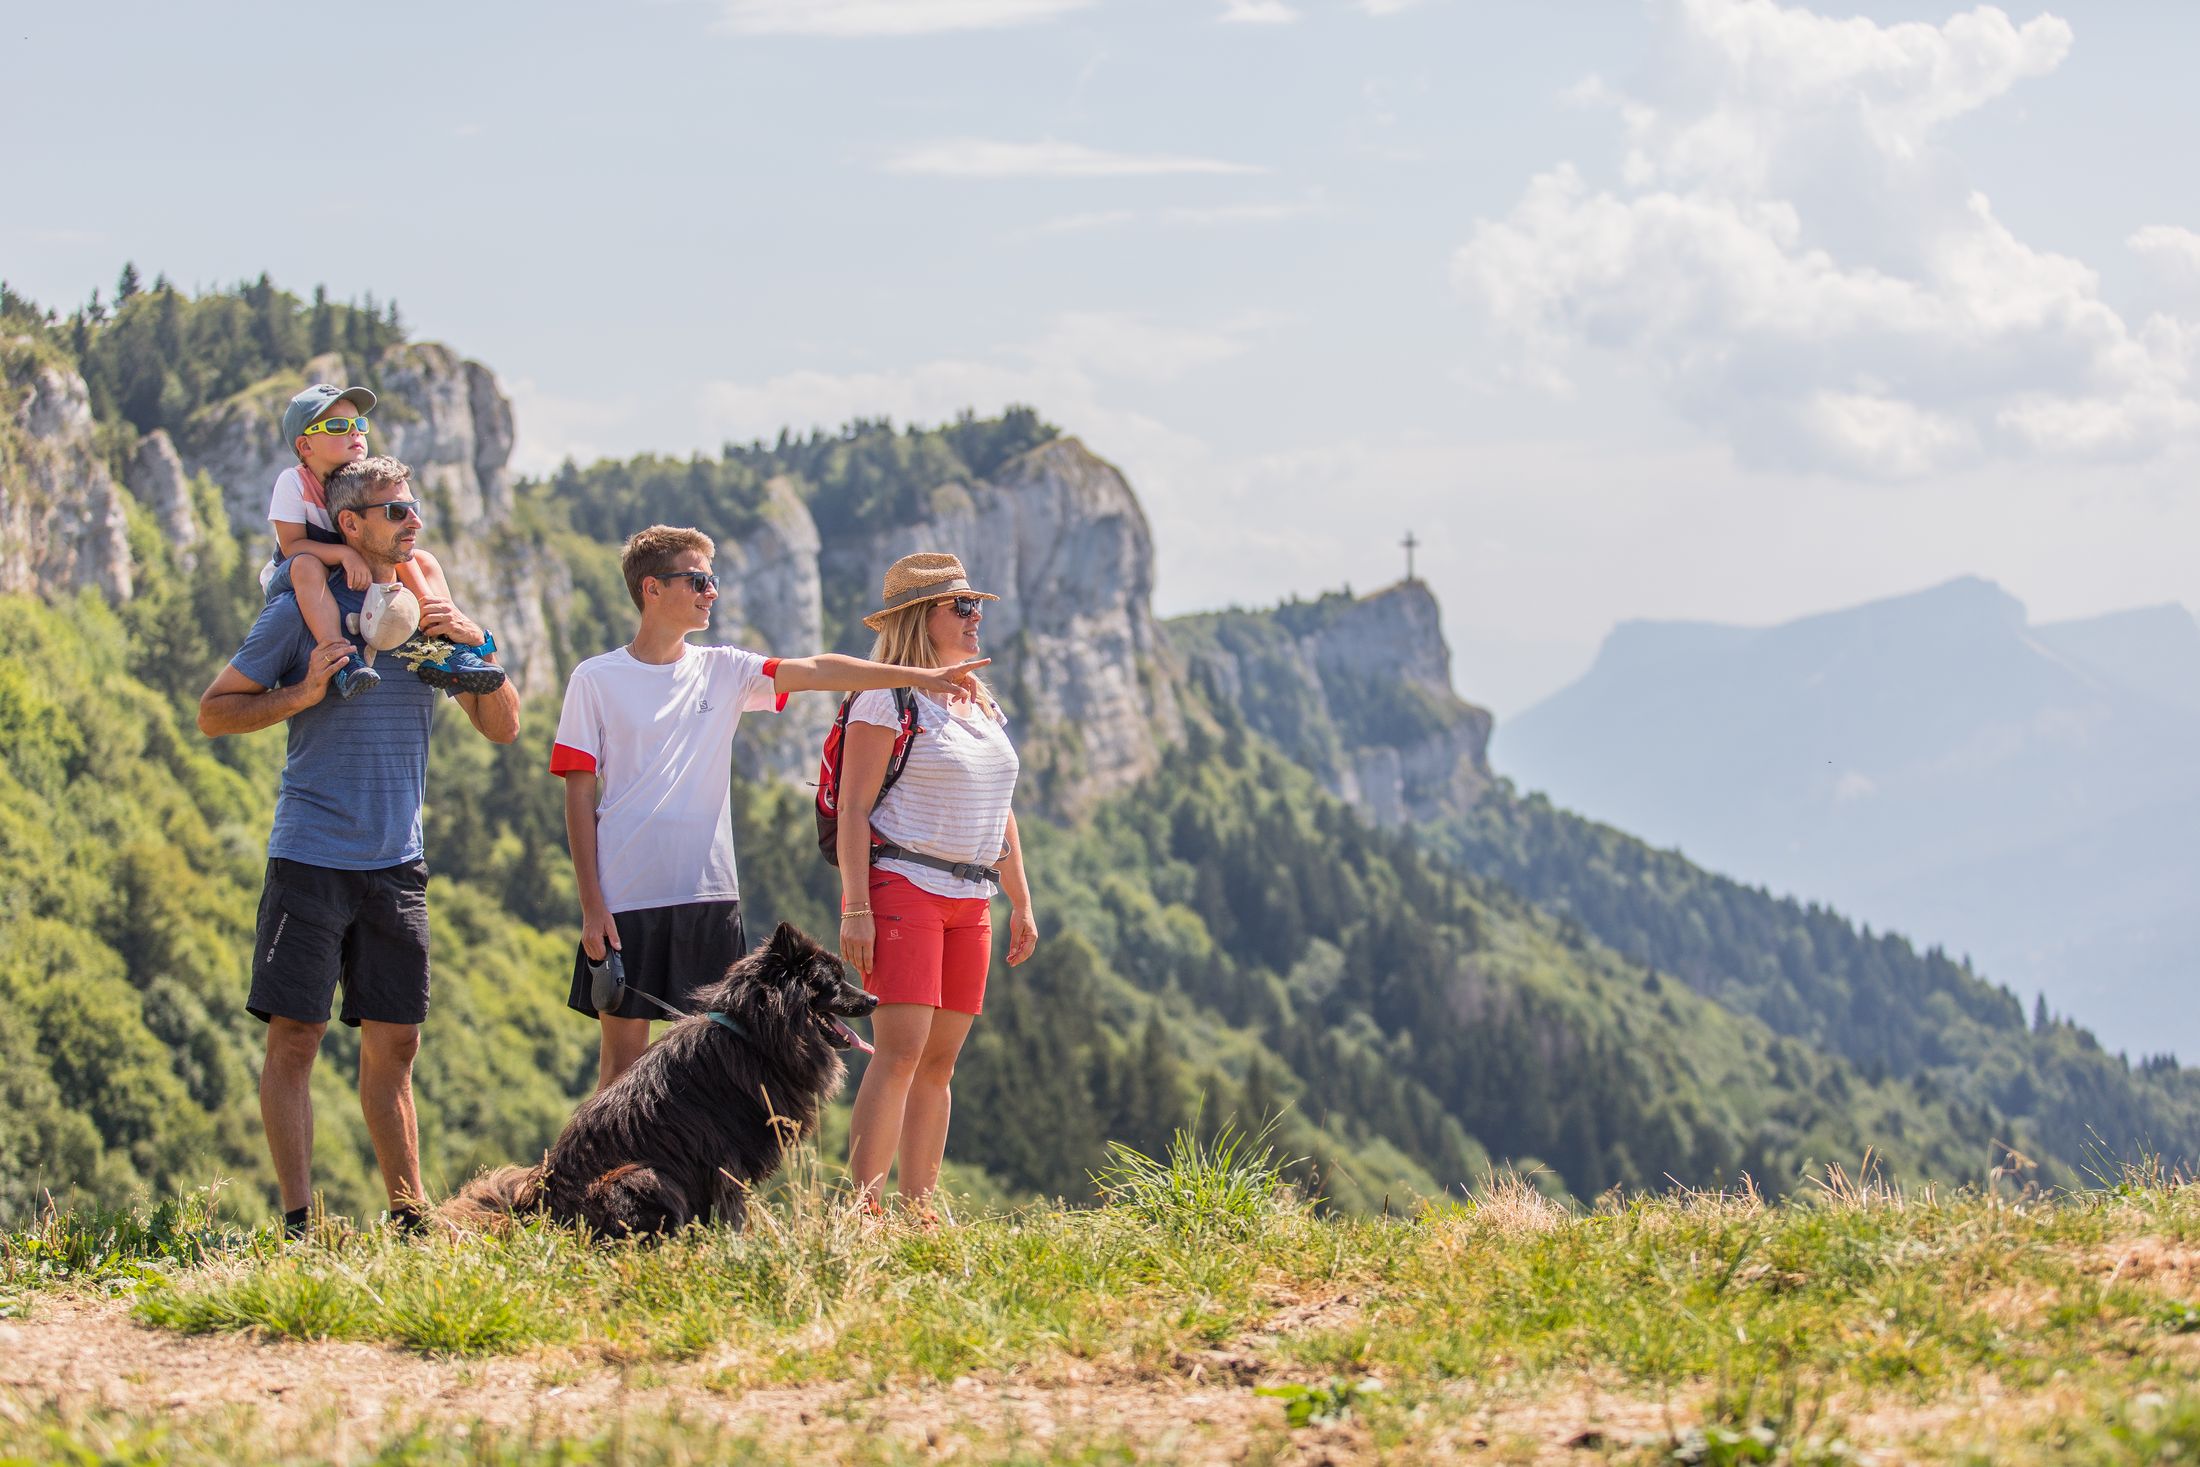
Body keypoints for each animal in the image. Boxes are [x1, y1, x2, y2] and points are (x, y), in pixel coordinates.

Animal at [444, 923, 875, 1231]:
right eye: (833, 982)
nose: (873, 999)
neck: (751, 1034)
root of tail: (536, 1211)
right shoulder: (726, 1160)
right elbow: (733, 1214)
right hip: (644, 1176)